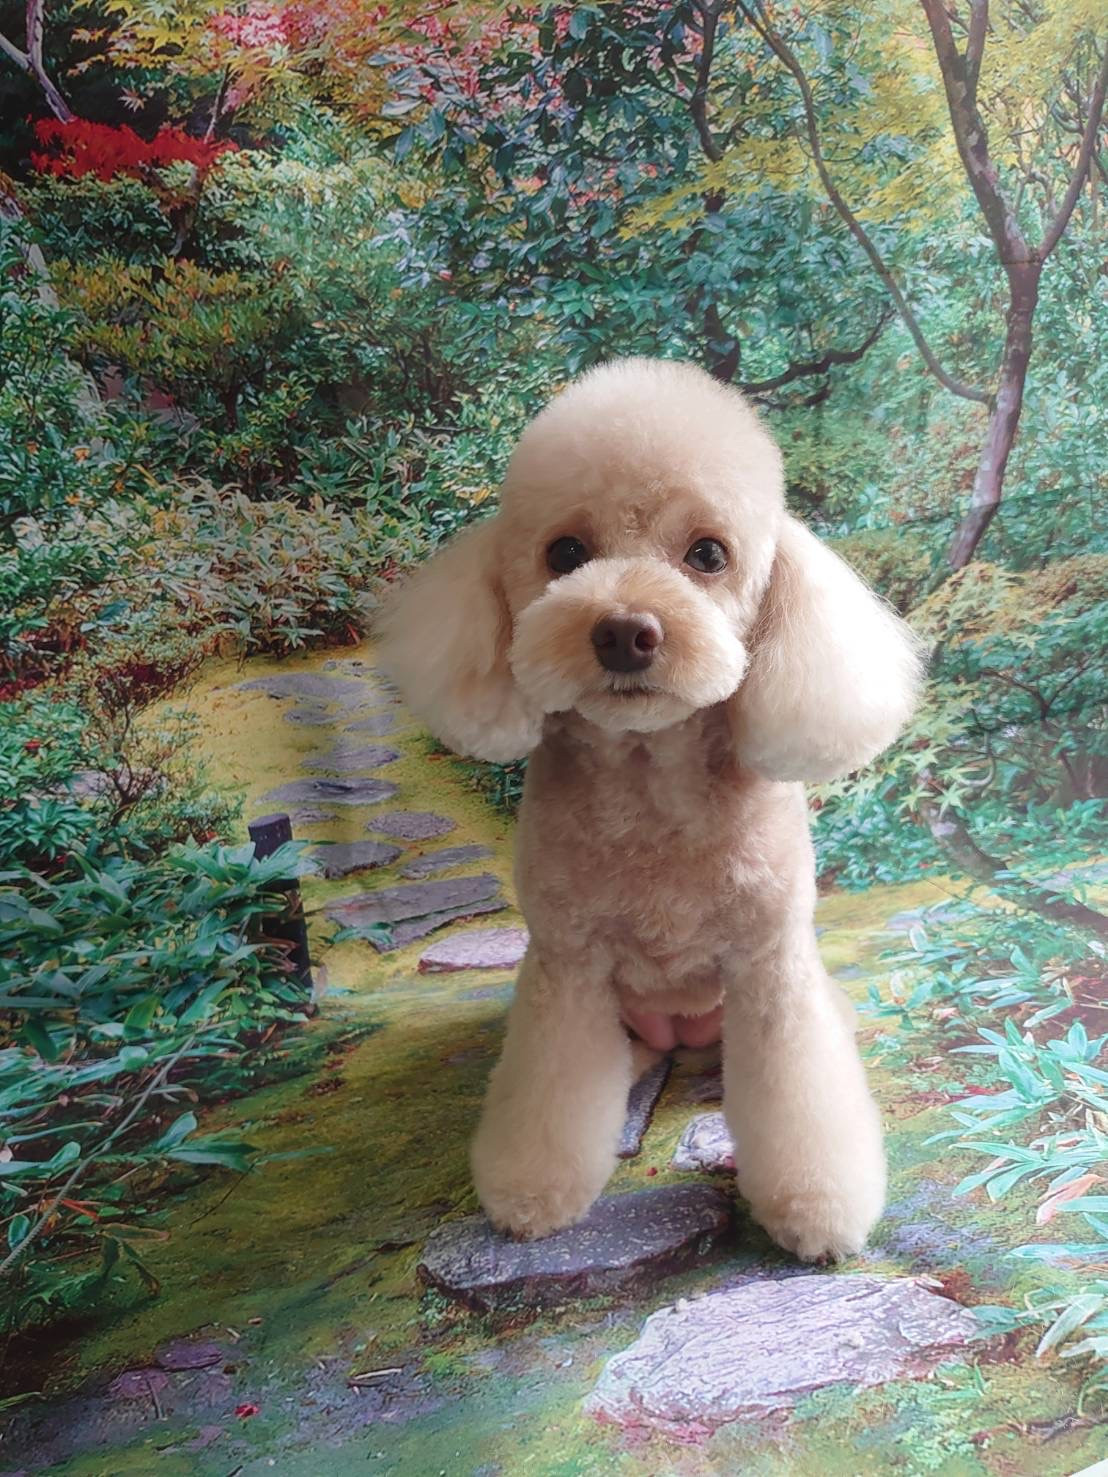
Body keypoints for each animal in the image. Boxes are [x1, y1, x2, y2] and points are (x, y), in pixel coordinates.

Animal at [378, 357, 922, 1262]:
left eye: (708, 553)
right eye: (565, 552)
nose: (625, 631)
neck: (650, 784)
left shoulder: (770, 966)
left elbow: (799, 1098)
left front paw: (817, 1209)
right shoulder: (566, 968)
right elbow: (550, 1091)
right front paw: (531, 1190)